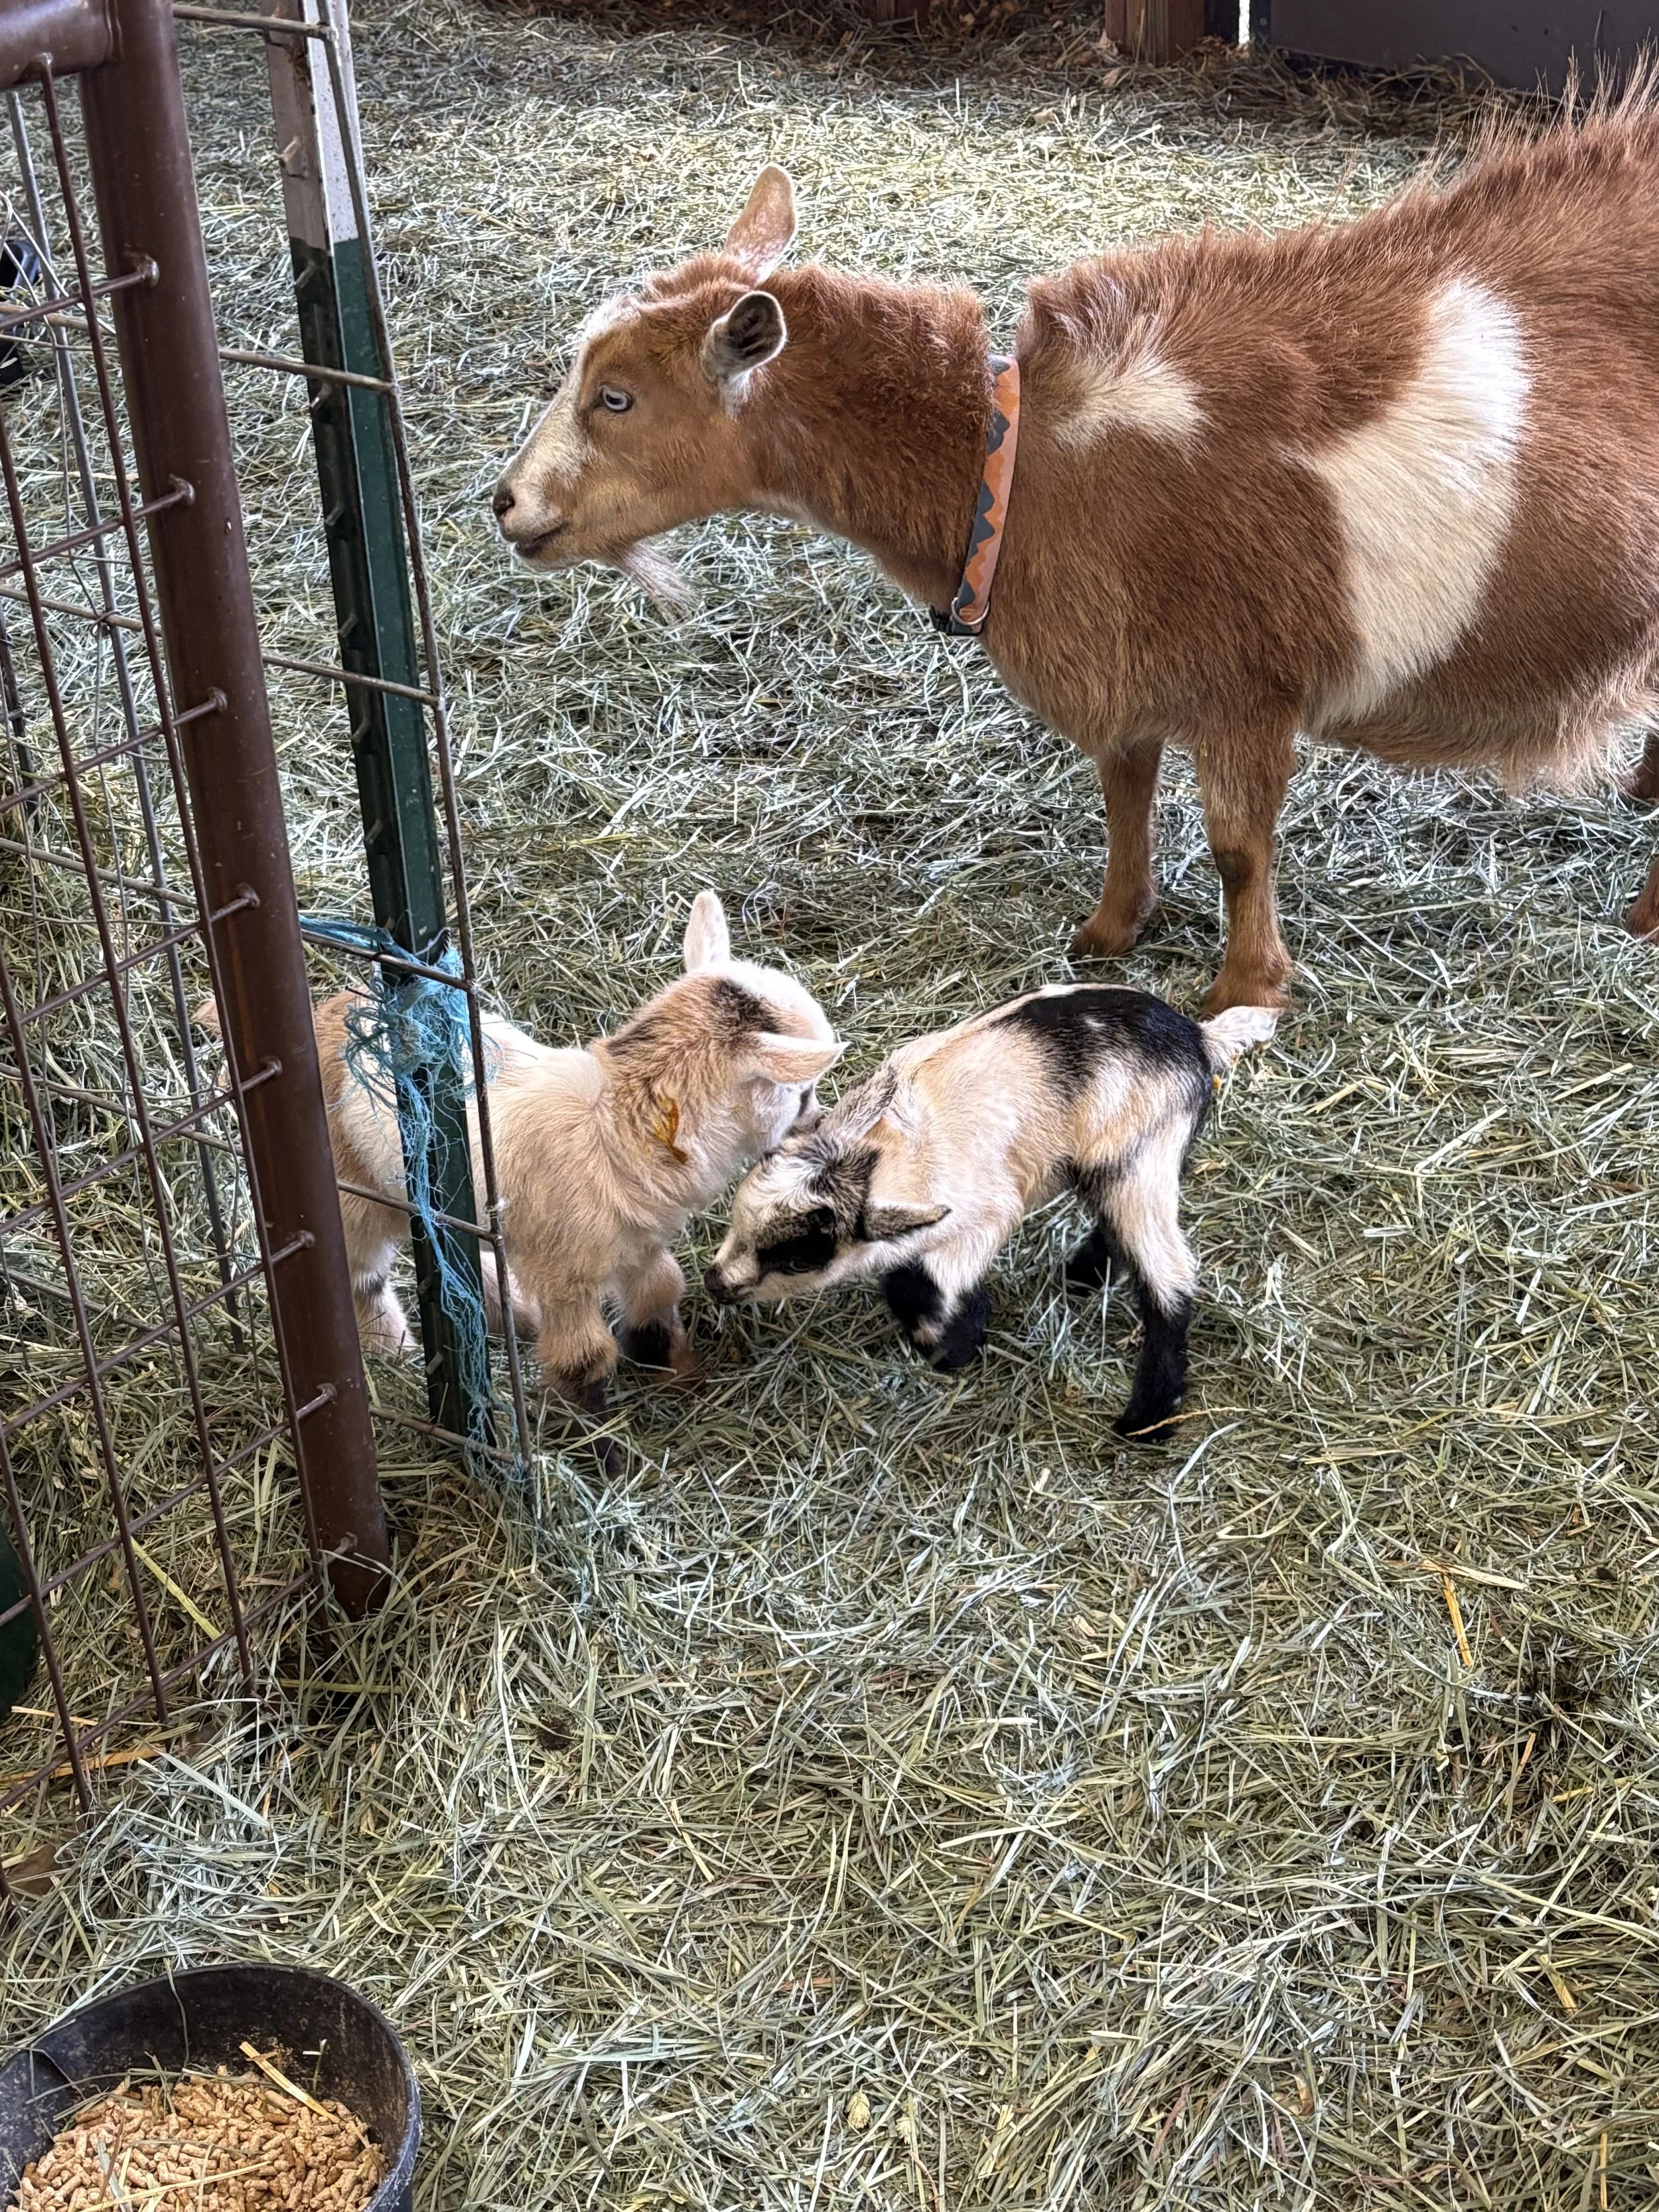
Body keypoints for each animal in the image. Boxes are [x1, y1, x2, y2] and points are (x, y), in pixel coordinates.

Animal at [199, 893, 841, 1419]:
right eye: (802, 1090)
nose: (818, 1123)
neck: (615, 1126)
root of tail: (334, 1013)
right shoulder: (566, 1276)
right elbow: (584, 1357)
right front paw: (599, 1449)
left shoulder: (637, 1245)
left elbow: (661, 1292)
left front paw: (679, 1375)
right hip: (353, 1183)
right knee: (364, 1273)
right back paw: (394, 1347)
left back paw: (505, 1306)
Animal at [494, 118, 1659, 1014]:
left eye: (615, 397)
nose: (506, 505)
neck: (1026, 462)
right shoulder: (1126, 663)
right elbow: (1124, 790)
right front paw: (1110, 928)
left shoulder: (1247, 685)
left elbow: (1240, 845)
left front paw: (1243, 991)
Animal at [704, 985, 1276, 1438]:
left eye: (799, 1257)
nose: (715, 1284)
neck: (880, 1156)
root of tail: (1200, 1038)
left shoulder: (985, 1214)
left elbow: (923, 1284)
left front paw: (954, 1347)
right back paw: (1081, 1274)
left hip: (1140, 1157)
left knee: (1169, 1274)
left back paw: (1147, 1419)